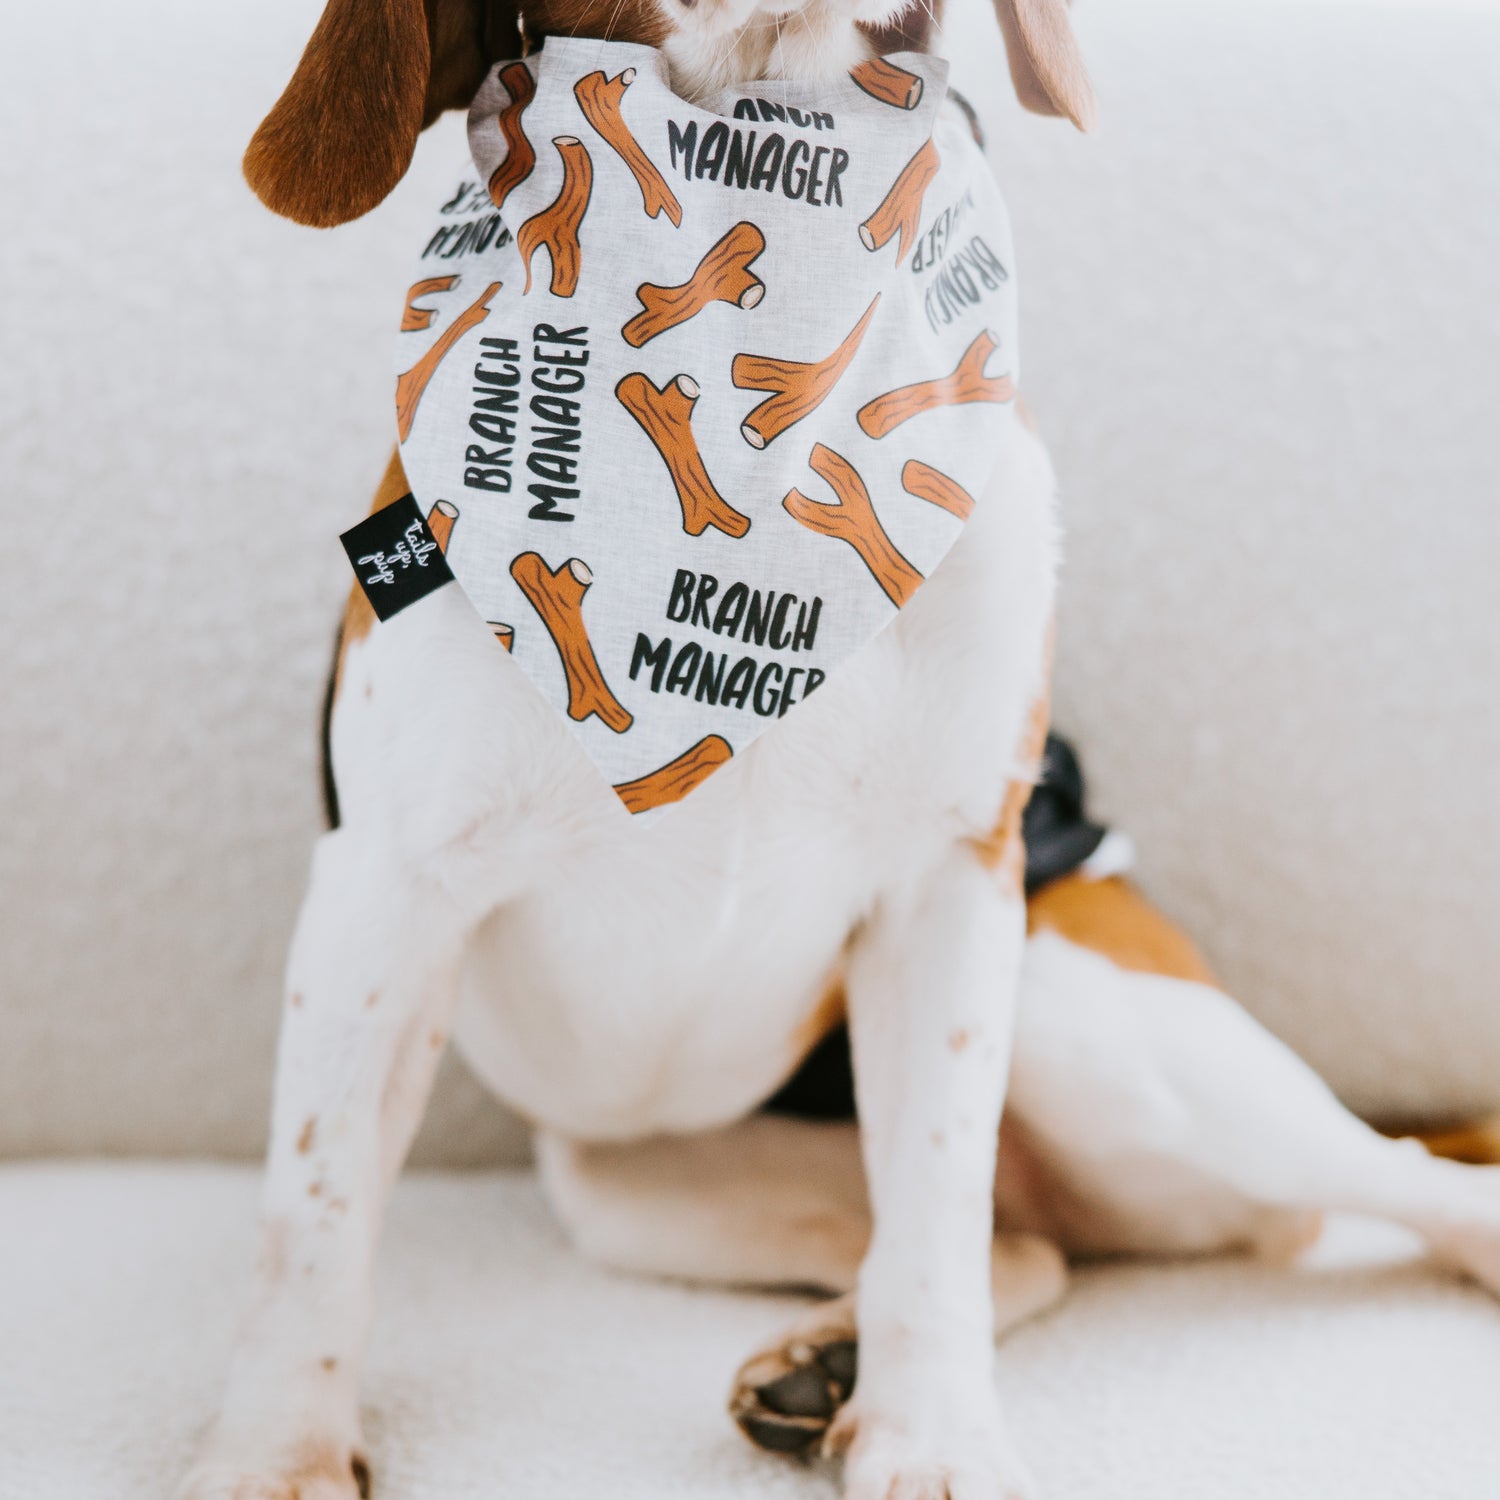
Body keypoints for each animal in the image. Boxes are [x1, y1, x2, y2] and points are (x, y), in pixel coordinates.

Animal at [181, 2, 1500, 1500]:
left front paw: (932, 1438)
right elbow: (314, 1209)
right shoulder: (386, 895)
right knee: (1023, 1244)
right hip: (625, 1187)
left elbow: (932, 1195)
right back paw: (826, 1362)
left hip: (1104, 1027)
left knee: (1403, 1186)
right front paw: (274, 1446)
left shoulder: (951, 882)